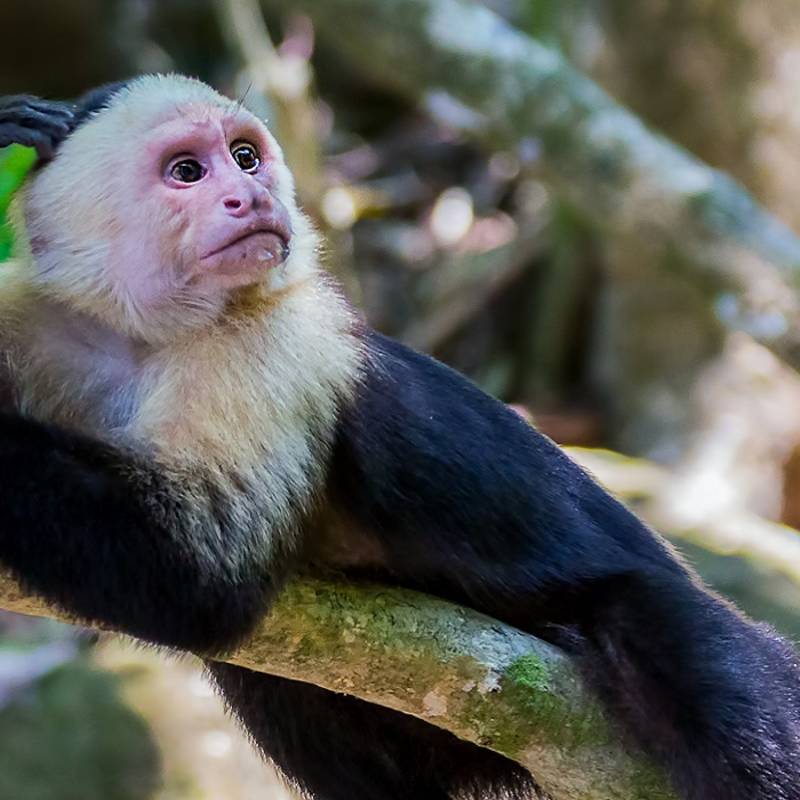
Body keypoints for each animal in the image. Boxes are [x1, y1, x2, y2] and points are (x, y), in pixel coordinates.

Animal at [0, 76, 796, 800]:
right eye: (188, 172)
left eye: (246, 158)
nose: (249, 198)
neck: (137, 337)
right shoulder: (31, 316)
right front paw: (16, 124)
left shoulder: (267, 343)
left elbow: (200, 576)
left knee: (691, 665)